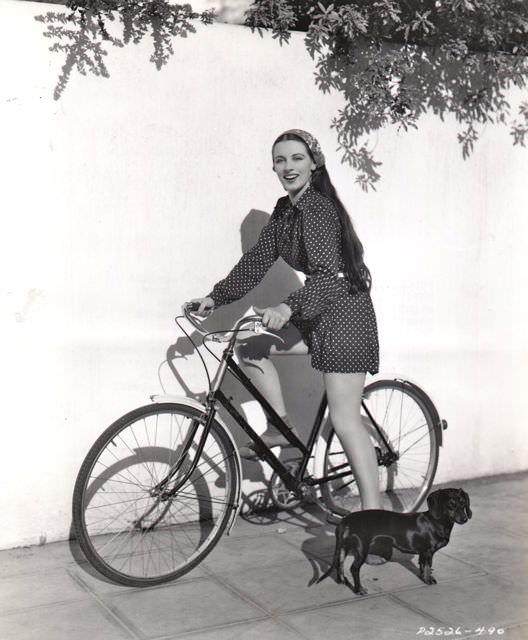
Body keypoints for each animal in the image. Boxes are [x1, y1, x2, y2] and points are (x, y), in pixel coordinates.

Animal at [316, 490, 472, 596]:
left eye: (463, 503)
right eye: (451, 505)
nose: (464, 519)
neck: (436, 521)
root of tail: (346, 520)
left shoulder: (423, 553)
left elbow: (422, 566)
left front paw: (424, 577)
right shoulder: (428, 552)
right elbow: (427, 566)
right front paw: (428, 580)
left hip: (344, 547)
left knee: (340, 563)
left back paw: (342, 581)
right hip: (361, 549)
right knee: (354, 569)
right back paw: (359, 589)